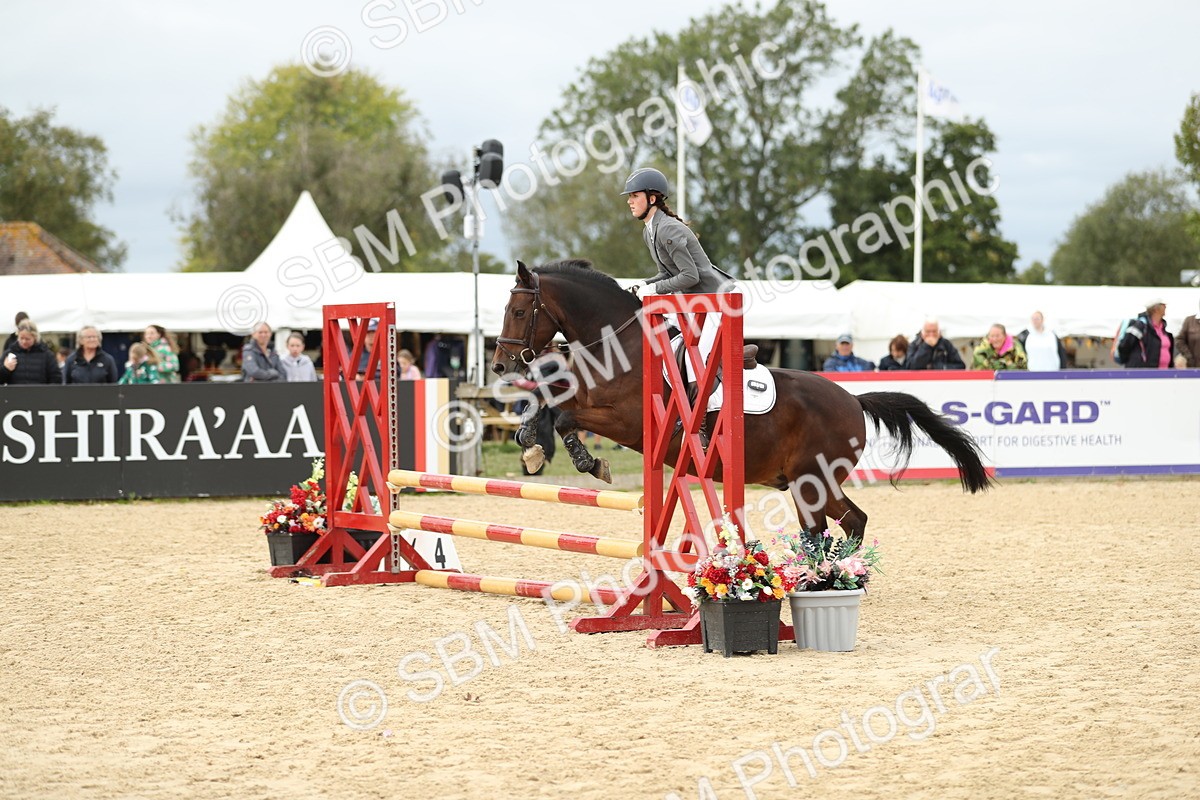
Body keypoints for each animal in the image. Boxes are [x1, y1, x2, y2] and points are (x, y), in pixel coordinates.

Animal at [490, 259, 992, 540]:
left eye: (518, 310)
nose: (499, 365)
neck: (621, 342)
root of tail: (853, 399)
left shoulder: (628, 421)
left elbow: (567, 416)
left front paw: (588, 462)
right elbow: (552, 399)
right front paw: (530, 443)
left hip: (813, 478)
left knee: (839, 523)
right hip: (808, 481)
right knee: (845, 522)